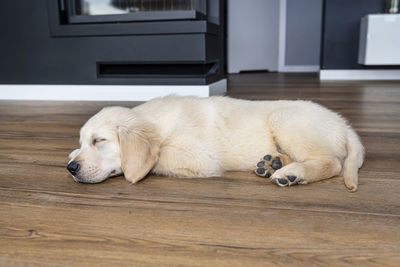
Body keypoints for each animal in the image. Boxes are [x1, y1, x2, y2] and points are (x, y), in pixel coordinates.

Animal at [67, 96, 364, 193]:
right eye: (83, 141)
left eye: (99, 140)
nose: (71, 168)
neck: (157, 122)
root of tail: (344, 125)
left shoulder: (201, 157)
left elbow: (159, 156)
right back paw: (272, 163)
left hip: (285, 119)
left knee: (332, 163)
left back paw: (291, 174)